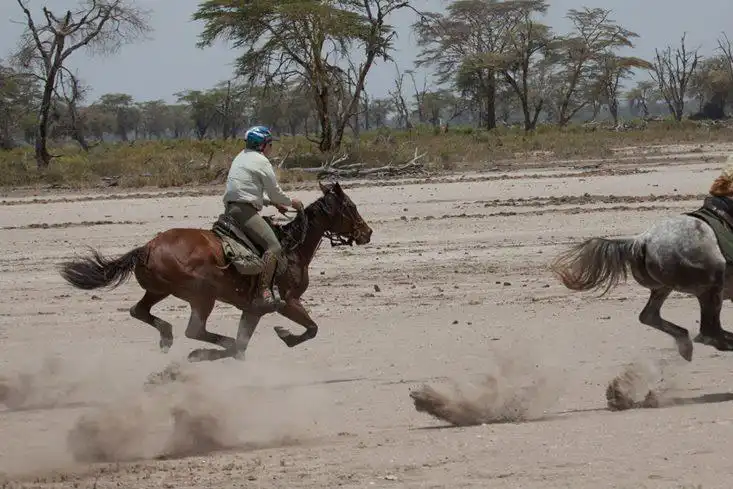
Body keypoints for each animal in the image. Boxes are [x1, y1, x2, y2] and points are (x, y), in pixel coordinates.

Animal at [58, 180, 373, 362]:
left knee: (140, 311)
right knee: (194, 330)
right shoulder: (287, 302)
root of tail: (146, 248)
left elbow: (245, 343)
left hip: (158, 290)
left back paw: (167, 336)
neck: (291, 247)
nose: (367, 232)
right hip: (202, 296)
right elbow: (310, 329)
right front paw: (284, 334)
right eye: (350, 206)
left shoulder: (253, 310)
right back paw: (199, 346)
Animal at [549, 170, 733, 363]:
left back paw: (684, 342)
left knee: (649, 316)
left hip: (664, 288)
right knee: (709, 333)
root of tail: (642, 240)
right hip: (711, 285)